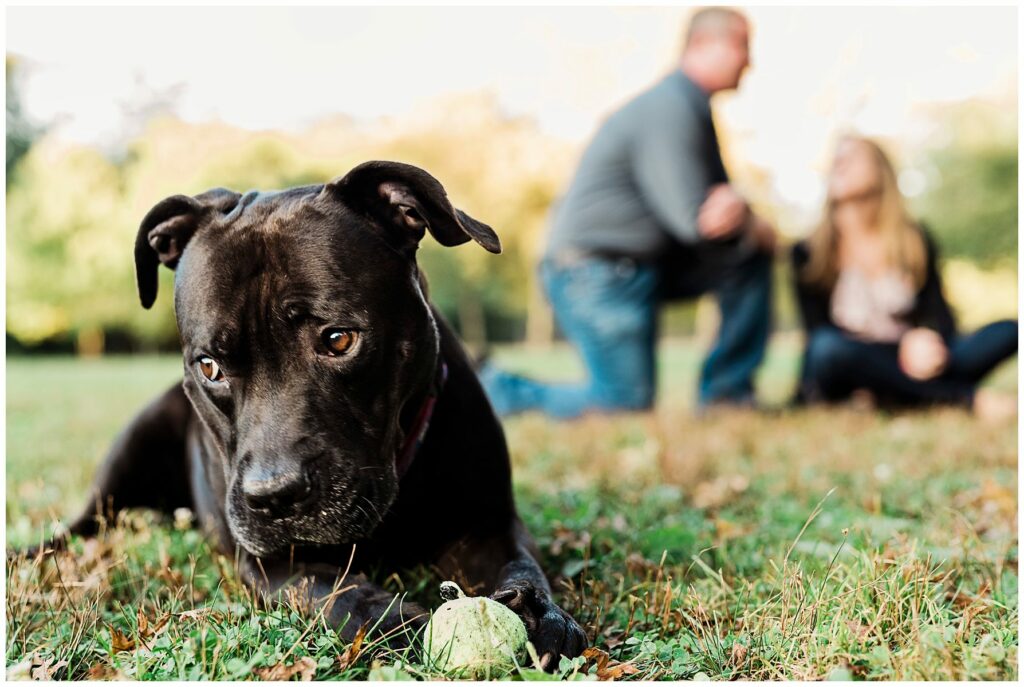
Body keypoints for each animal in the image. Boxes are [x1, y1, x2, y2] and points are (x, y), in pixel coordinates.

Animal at [25, 159, 585, 667]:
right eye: (210, 367)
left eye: (339, 340)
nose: (276, 496)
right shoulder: (267, 560)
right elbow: (331, 592)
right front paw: (398, 622)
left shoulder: (489, 524)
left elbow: (522, 566)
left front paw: (541, 614)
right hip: (131, 448)